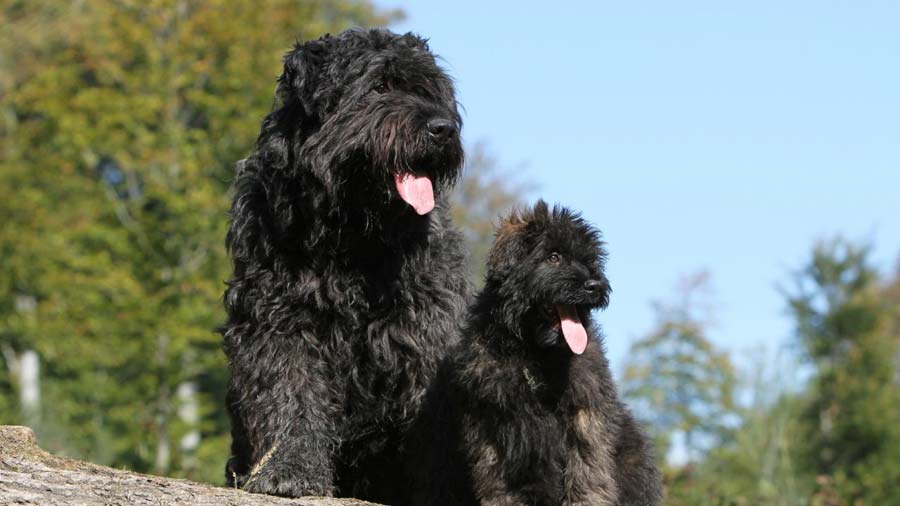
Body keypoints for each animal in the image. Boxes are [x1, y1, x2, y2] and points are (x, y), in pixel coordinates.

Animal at [221, 29, 468, 500]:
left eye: (432, 91)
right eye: (379, 86)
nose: (442, 128)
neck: (351, 236)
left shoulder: (428, 326)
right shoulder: (280, 320)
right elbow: (290, 394)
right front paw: (291, 468)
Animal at [404, 202, 664, 506]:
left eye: (589, 259)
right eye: (553, 257)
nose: (594, 285)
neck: (534, 354)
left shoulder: (584, 409)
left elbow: (587, 464)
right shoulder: (490, 416)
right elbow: (496, 473)